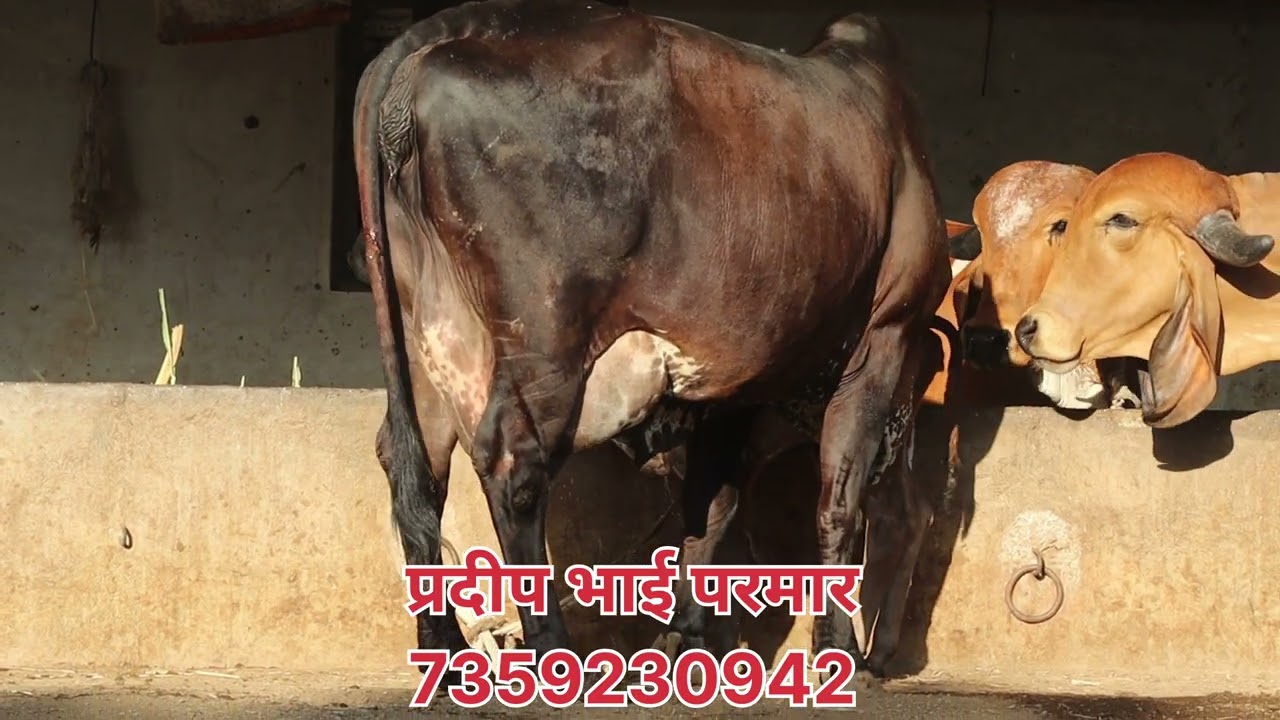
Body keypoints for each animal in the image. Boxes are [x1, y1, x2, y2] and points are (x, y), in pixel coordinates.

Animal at [354, 0, 951, 690]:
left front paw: (689, 639)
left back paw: (445, 649)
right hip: (546, 334)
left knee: (417, 462)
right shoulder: (883, 333)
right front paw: (836, 652)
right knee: (513, 460)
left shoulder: (738, 383)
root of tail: (448, 30)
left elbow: (711, 504)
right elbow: (839, 501)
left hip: (426, 327)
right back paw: (550, 650)